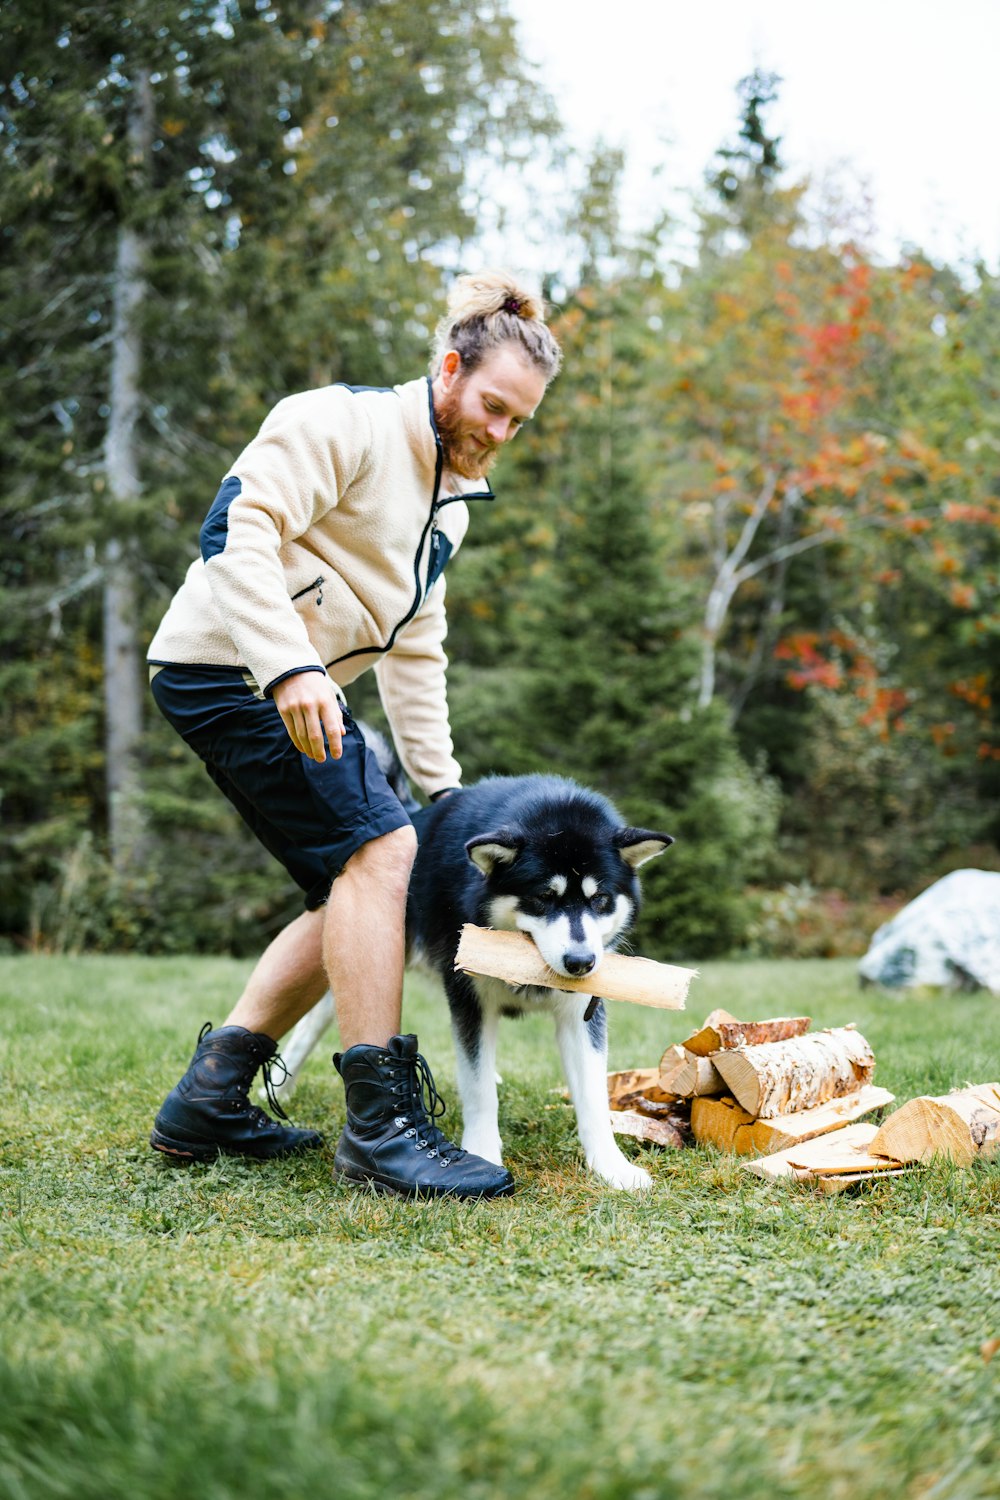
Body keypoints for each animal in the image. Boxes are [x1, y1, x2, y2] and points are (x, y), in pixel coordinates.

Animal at [275, 732, 671, 1188]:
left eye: (600, 899)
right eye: (543, 897)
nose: (581, 962)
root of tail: (415, 814)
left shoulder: (580, 1014)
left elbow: (593, 1096)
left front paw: (611, 1166)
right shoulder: (470, 1000)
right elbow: (479, 1087)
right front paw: (482, 1152)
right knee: (317, 1017)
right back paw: (278, 1085)